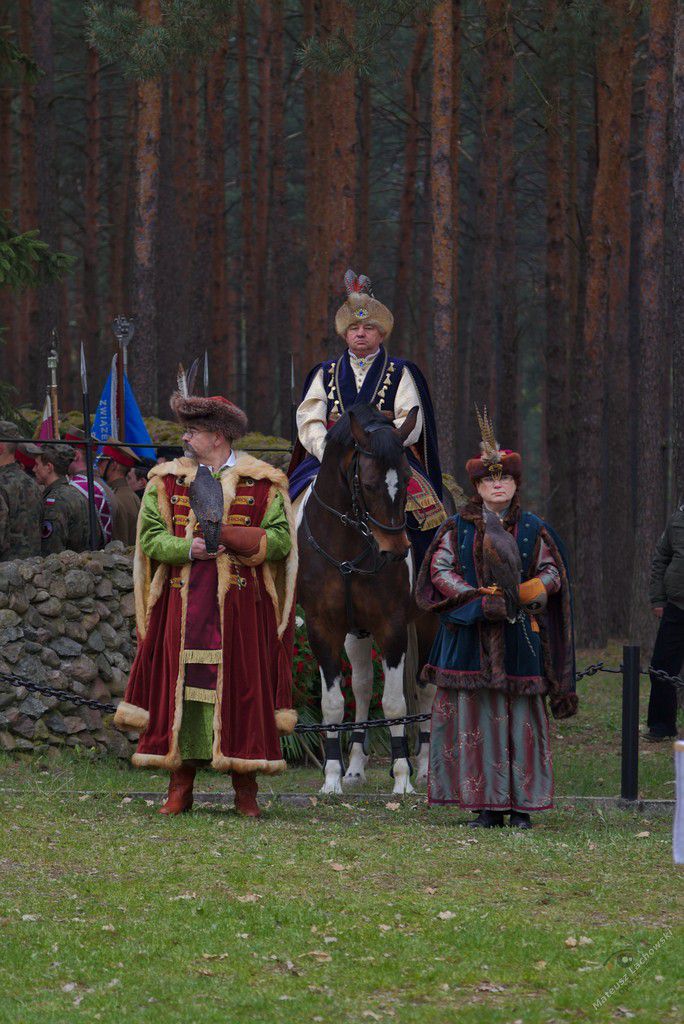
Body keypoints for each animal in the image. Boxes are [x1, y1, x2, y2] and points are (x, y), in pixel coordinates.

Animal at [296, 402, 438, 795]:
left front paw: (403, 778)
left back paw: (425, 767)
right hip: (355, 632)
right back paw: (356, 767)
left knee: (425, 688)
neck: (348, 545)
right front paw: (332, 778)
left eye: (406, 480)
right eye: (370, 484)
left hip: (429, 623)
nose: (395, 550)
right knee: (360, 686)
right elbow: (333, 704)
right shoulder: (322, 627)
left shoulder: (392, 626)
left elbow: (394, 703)